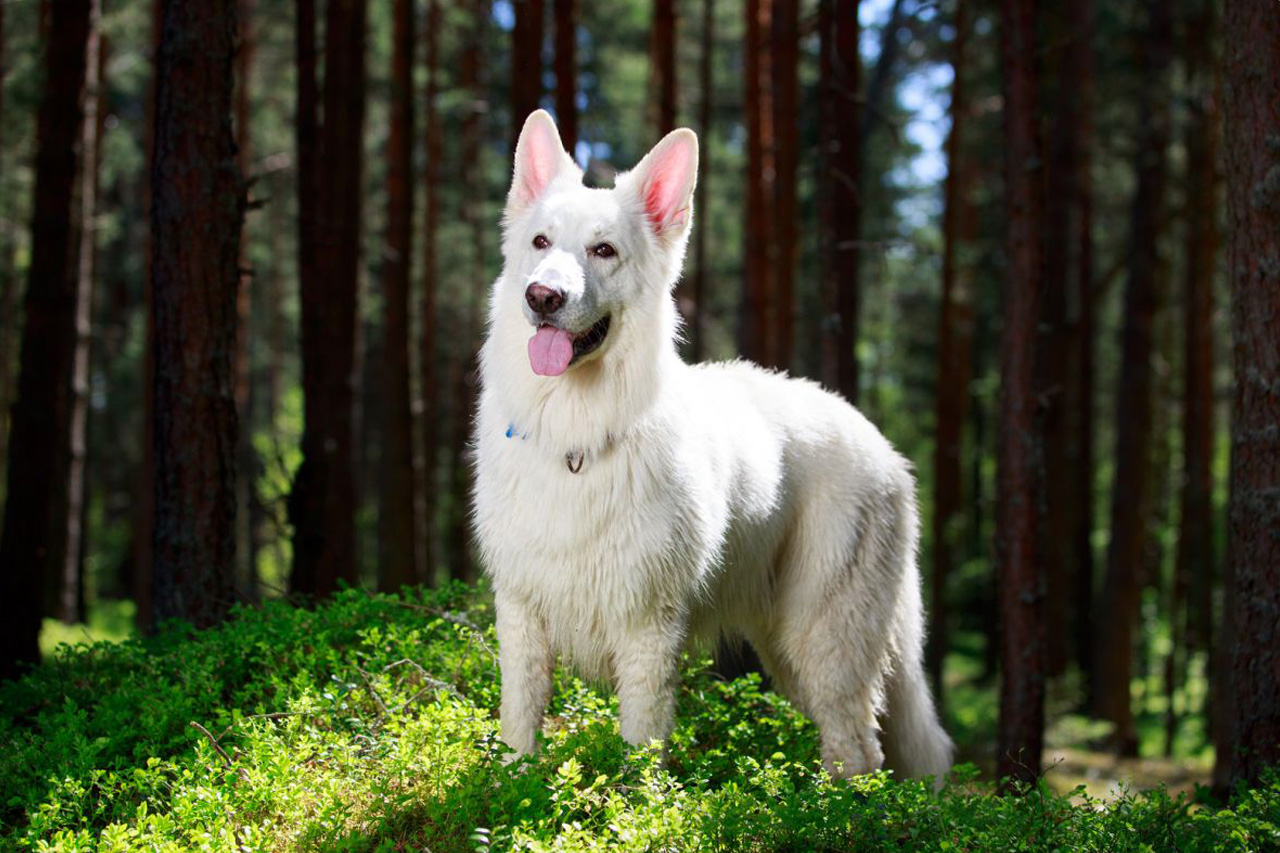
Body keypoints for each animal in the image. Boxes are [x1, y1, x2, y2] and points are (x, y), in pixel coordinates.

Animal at [471, 111, 952, 778]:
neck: (576, 435)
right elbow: (518, 731)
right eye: (541, 243)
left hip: (826, 642)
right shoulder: (521, 617)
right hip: (787, 651)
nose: (542, 297)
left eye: (603, 250)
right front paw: (509, 787)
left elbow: (640, 752)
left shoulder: (648, 631)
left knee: (859, 749)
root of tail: (880, 442)